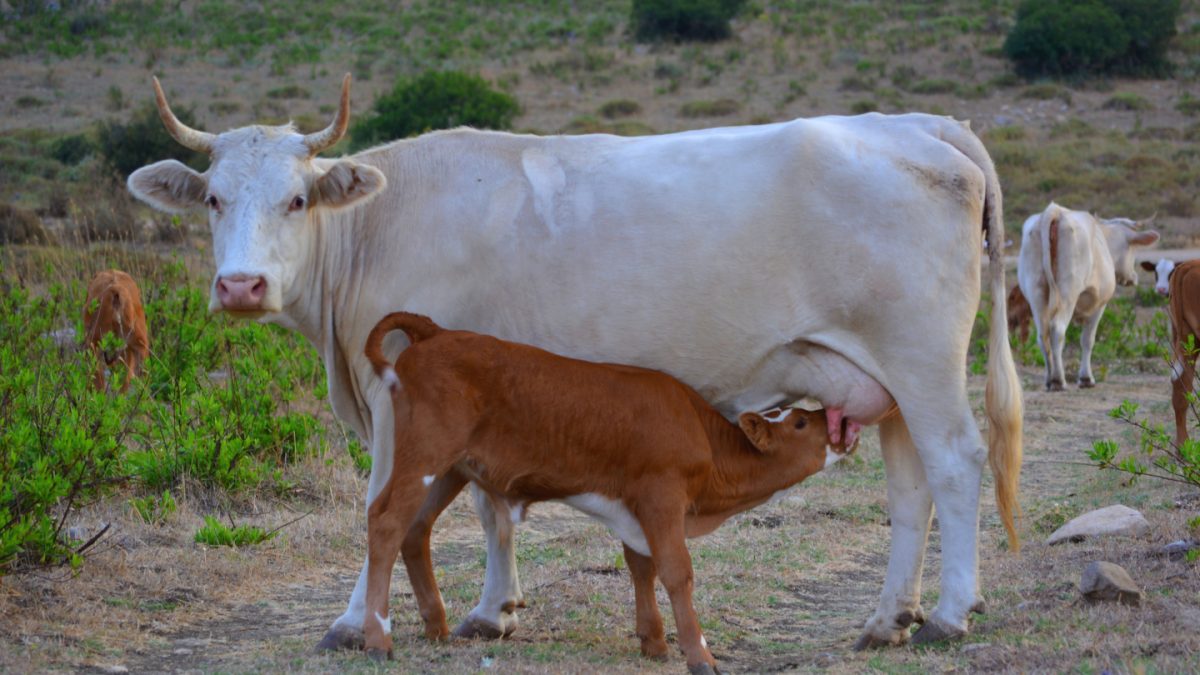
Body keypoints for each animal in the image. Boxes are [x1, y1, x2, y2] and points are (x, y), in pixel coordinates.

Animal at [360, 312, 849, 667]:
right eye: (800, 422)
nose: (838, 423)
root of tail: (438, 333)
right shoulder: (661, 495)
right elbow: (677, 571)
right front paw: (700, 655)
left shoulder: (635, 507)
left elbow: (641, 566)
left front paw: (654, 642)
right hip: (424, 455)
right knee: (386, 522)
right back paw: (378, 639)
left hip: (450, 469)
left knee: (415, 529)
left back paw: (436, 627)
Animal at [1017, 199, 1156, 389]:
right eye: (1133, 248)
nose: (1133, 277)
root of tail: (1054, 212)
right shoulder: (1099, 305)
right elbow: (1088, 340)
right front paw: (1086, 378)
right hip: (1068, 293)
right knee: (1057, 329)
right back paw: (1058, 380)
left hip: (1036, 293)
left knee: (1042, 335)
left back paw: (1049, 379)